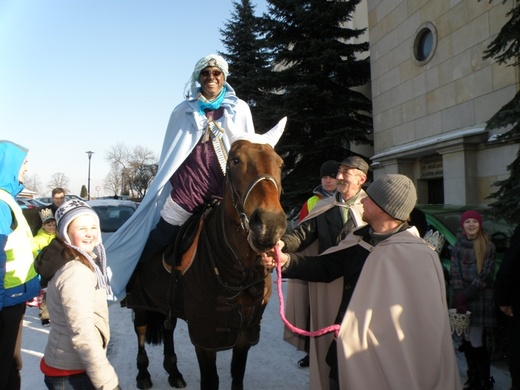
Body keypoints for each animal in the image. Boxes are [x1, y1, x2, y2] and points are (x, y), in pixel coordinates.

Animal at [127, 136, 286, 388]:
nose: (270, 224)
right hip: (140, 301)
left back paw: (173, 371)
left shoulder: (246, 330)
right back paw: (143, 374)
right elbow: (211, 380)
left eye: (280, 164)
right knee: (141, 331)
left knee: (168, 328)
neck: (238, 271)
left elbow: (237, 375)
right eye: (235, 160)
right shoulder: (205, 336)